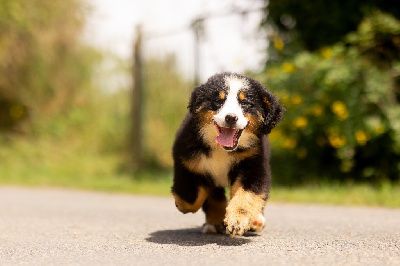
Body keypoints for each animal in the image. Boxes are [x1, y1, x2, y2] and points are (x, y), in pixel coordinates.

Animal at [172, 72, 284, 237]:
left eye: (245, 103)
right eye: (219, 100)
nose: (231, 118)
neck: (222, 150)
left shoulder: (254, 166)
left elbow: (245, 197)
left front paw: (238, 220)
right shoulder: (186, 162)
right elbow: (190, 198)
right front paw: (181, 205)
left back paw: (256, 220)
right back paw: (213, 223)